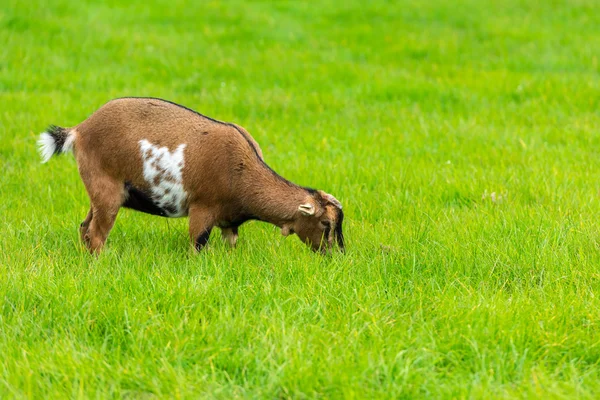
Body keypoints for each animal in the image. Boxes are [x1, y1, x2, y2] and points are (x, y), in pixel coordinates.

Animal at [37, 97, 344, 253]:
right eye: (326, 224)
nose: (337, 254)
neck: (243, 171)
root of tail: (80, 130)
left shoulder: (228, 221)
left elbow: (231, 244)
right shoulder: (203, 208)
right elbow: (197, 244)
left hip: (100, 192)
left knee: (84, 228)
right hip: (106, 188)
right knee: (96, 233)